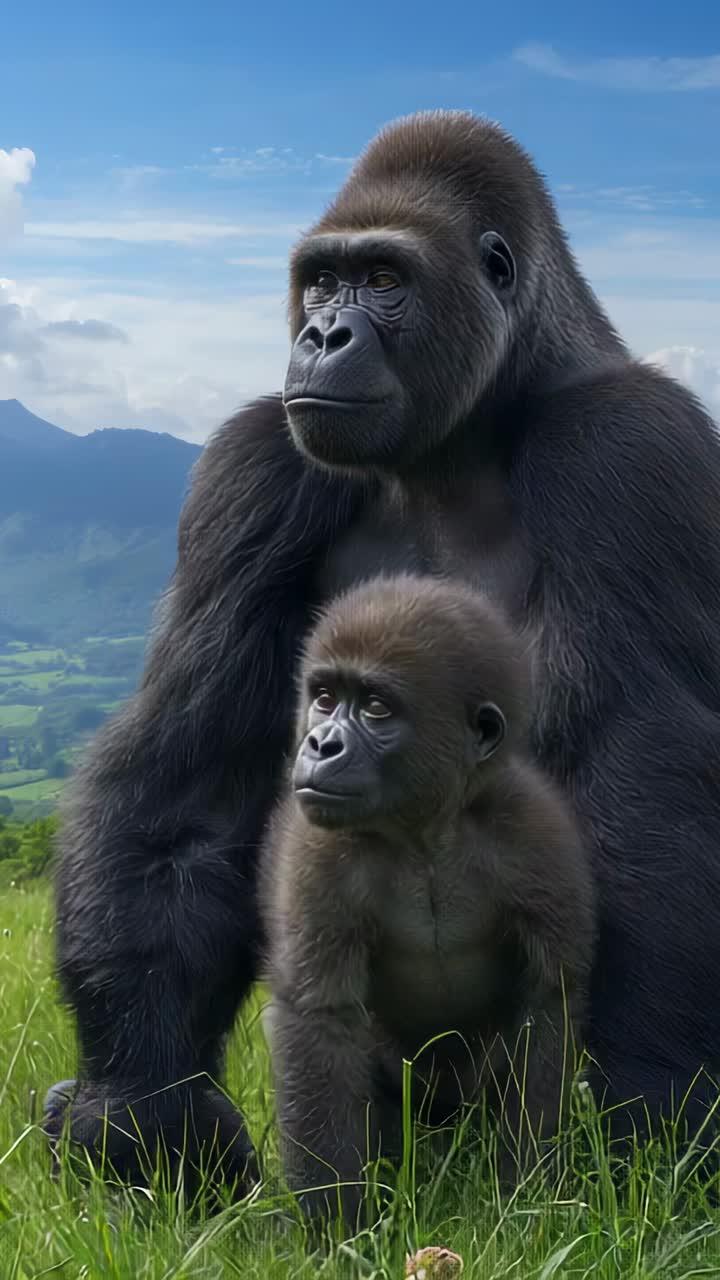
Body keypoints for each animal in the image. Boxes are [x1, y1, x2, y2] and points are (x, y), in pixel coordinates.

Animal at [258, 573, 595, 1224]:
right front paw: (336, 1227)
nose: (319, 742)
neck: (424, 829)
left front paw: (527, 1192)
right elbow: (319, 1016)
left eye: (375, 708)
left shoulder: (532, 829)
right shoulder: (321, 849)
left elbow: (549, 1001)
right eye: (324, 697)